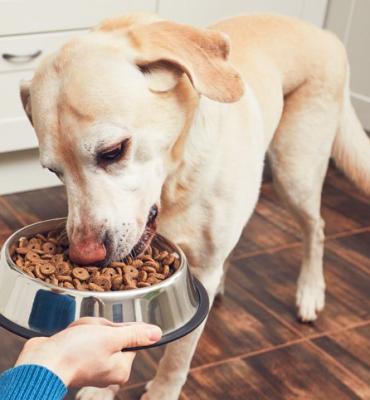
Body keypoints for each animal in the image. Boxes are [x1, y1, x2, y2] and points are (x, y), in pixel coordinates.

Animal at [21, 12, 370, 400]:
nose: (85, 257)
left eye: (113, 151)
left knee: (317, 229)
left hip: (295, 172)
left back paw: (310, 291)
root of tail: (325, 35)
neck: (176, 179)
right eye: (54, 171)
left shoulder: (200, 271)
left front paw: (161, 392)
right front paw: (101, 389)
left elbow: (178, 354)